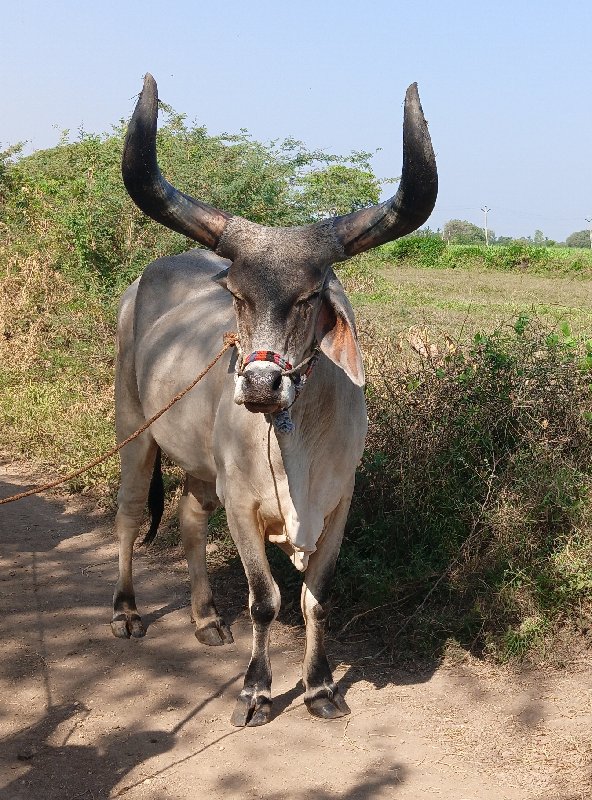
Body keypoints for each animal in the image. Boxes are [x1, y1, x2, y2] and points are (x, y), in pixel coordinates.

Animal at [112, 75, 434, 724]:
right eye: (236, 293)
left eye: (310, 297)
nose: (261, 385)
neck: (297, 446)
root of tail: (142, 281)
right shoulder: (242, 504)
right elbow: (265, 600)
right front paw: (257, 690)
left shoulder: (338, 504)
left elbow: (315, 601)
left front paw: (319, 688)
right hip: (133, 431)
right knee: (130, 514)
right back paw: (127, 610)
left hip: (201, 465)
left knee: (188, 519)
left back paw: (206, 619)